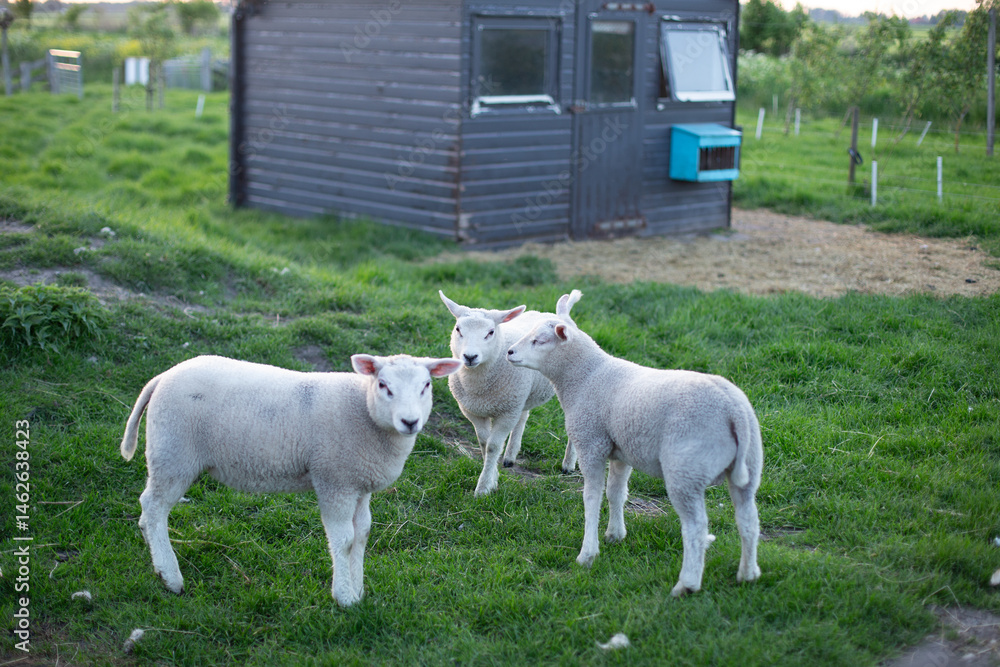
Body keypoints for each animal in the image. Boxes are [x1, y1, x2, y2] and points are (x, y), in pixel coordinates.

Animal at [119, 353, 461, 607]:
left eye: (426, 385)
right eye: (383, 385)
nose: (410, 421)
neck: (363, 410)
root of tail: (163, 377)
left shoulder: (359, 482)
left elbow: (362, 534)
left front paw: (358, 588)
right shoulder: (334, 480)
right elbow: (344, 539)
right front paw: (344, 597)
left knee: (149, 512)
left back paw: (155, 556)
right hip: (173, 452)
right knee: (154, 507)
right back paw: (170, 575)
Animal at [439, 291, 575, 496]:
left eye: (490, 332)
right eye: (458, 329)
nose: (470, 357)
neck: (479, 387)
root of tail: (561, 315)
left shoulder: (507, 412)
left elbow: (493, 447)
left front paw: (483, 487)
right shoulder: (473, 411)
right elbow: (484, 443)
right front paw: (493, 476)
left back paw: (568, 464)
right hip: (522, 394)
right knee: (523, 417)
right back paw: (510, 456)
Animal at [506, 290, 763, 597]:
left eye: (540, 341)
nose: (509, 352)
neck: (585, 377)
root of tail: (732, 409)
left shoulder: (591, 443)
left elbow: (591, 497)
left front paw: (588, 554)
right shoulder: (621, 450)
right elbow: (616, 493)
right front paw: (615, 535)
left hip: (686, 468)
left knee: (696, 528)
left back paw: (686, 584)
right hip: (750, 464)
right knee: (748, 520)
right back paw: (747, 574)